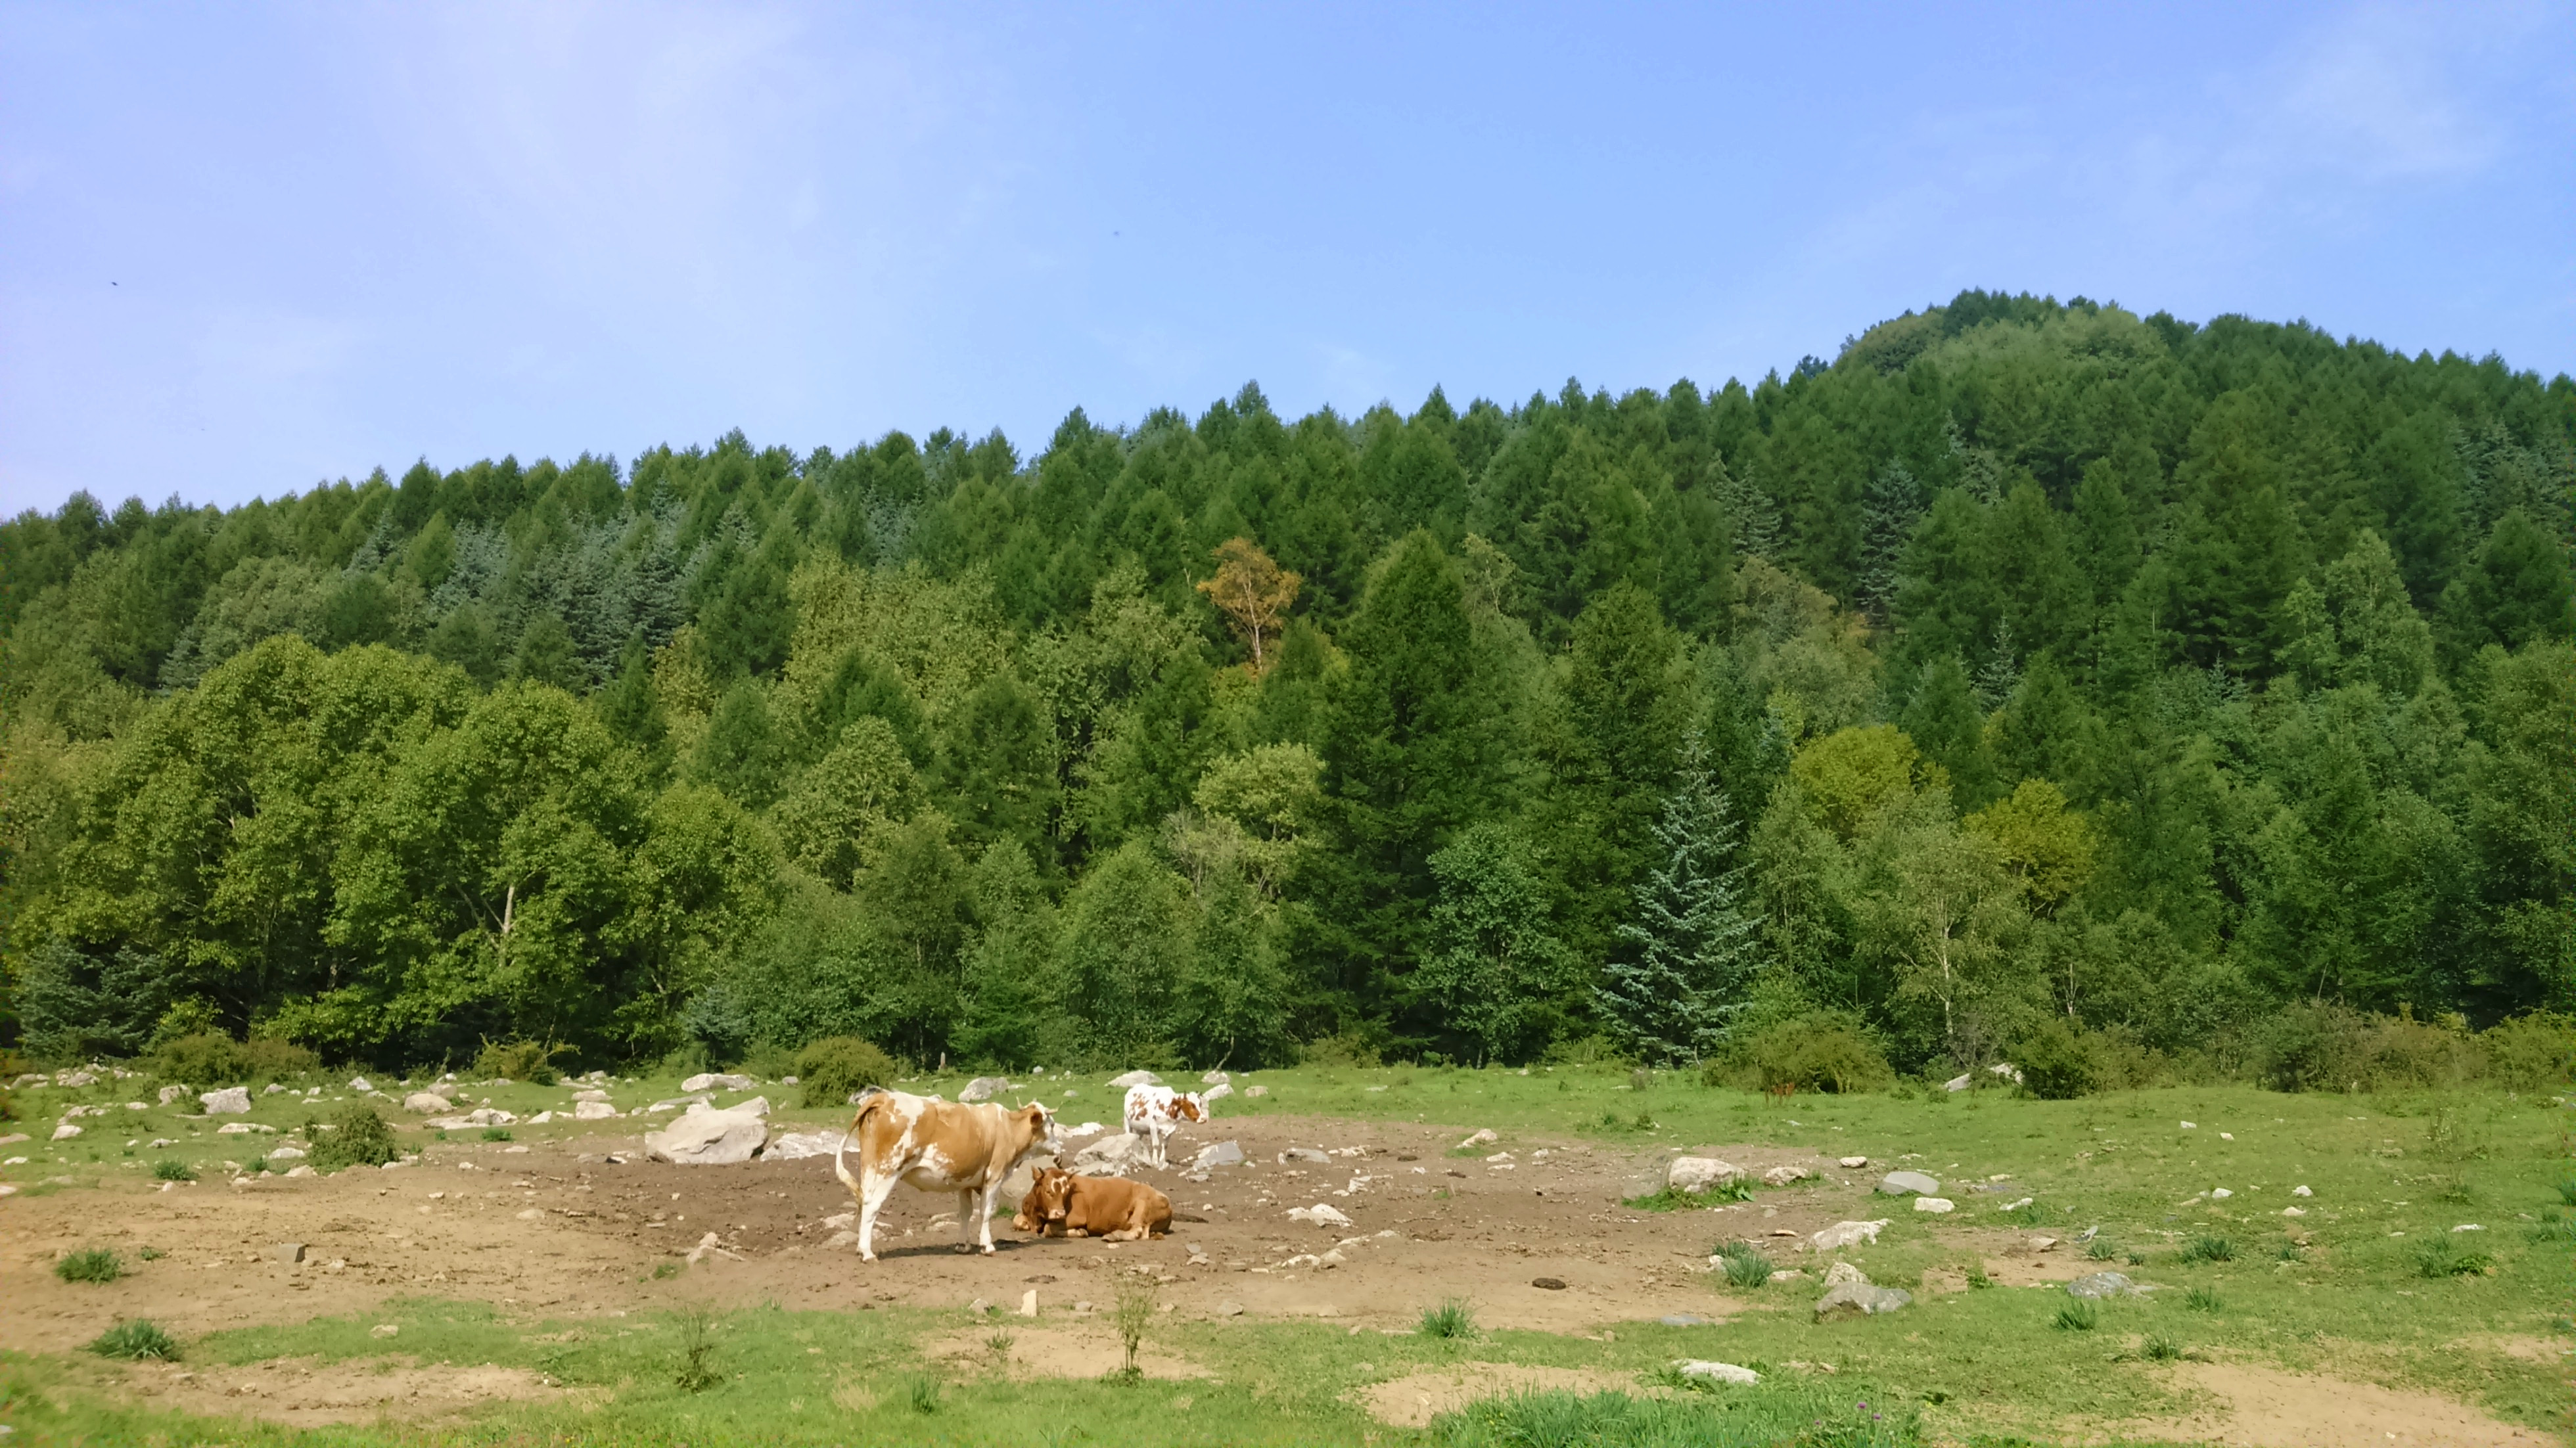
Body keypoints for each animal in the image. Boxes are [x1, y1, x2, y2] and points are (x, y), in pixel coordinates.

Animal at [835, 1082, 1056, 1252]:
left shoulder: (966, 1181)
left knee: (865, 1201)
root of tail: (884, 1098)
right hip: (888, 1170)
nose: (1059, 1146)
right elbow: (986, 1212)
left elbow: (966, 1212)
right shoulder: (995, 1175)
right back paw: (867, 1253)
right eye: (1052, 1125)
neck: (1008, 1127)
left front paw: (963, 1245)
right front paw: (987, 1246)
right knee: (872, 1205)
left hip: (869, 1169)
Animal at [1009, 1154, 1174, 1236]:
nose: (1060, 1213)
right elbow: (1016, 1220)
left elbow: (1049, 1229)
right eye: (1048, 1191)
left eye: (1066, 1192)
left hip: (1142, 1203)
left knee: (1138, 1229)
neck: (1036, 1214)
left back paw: (1113, 1236)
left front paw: (1080, 1231)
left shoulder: (1076, 1217)